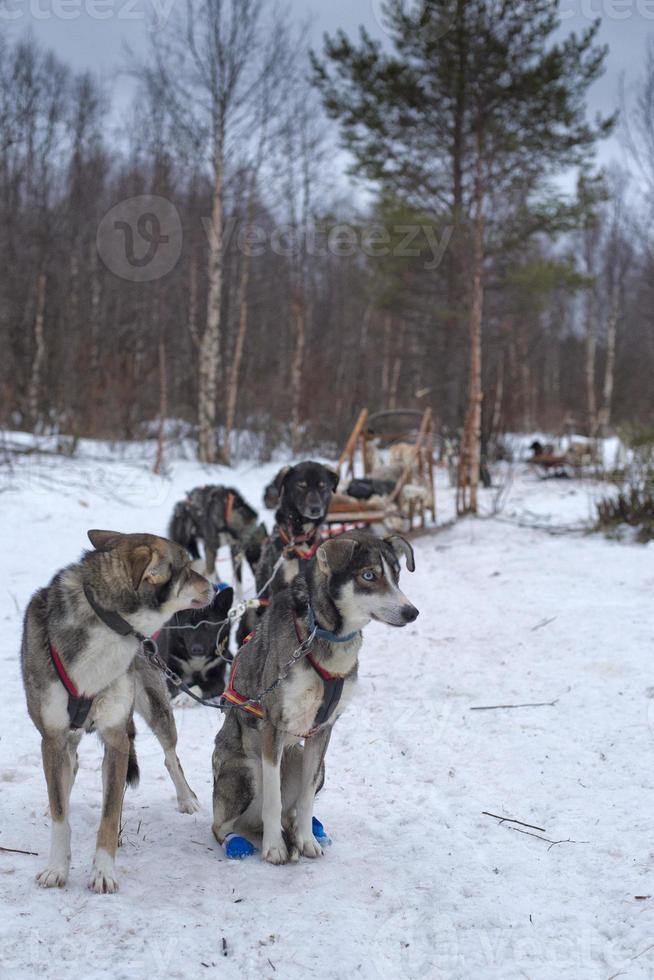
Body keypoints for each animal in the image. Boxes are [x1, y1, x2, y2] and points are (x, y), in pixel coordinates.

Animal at [21, 532, 213, 892]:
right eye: (184, 568)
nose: (215, 586)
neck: (106, 625)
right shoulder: (52, 737)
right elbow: (60, 812)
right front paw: (57, 867)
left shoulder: (115, 736)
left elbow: (109, 815)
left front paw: (103, 872)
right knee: (71, 769)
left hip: (156, 710)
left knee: (170, 757)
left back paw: (187, 798)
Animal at [215, 532, 420, 860]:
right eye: (369, 575)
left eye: (397, 576)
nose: (411, 612)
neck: (320, 632)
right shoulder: (273, 726)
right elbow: (272, 800)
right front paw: (274, 848)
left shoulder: (323, 730)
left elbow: (306, 796)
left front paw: (306, 839)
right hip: (246, 771)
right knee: (221, 824)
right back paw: (239, 840)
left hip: (314, 764)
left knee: (291, 809)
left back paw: (302, 831)